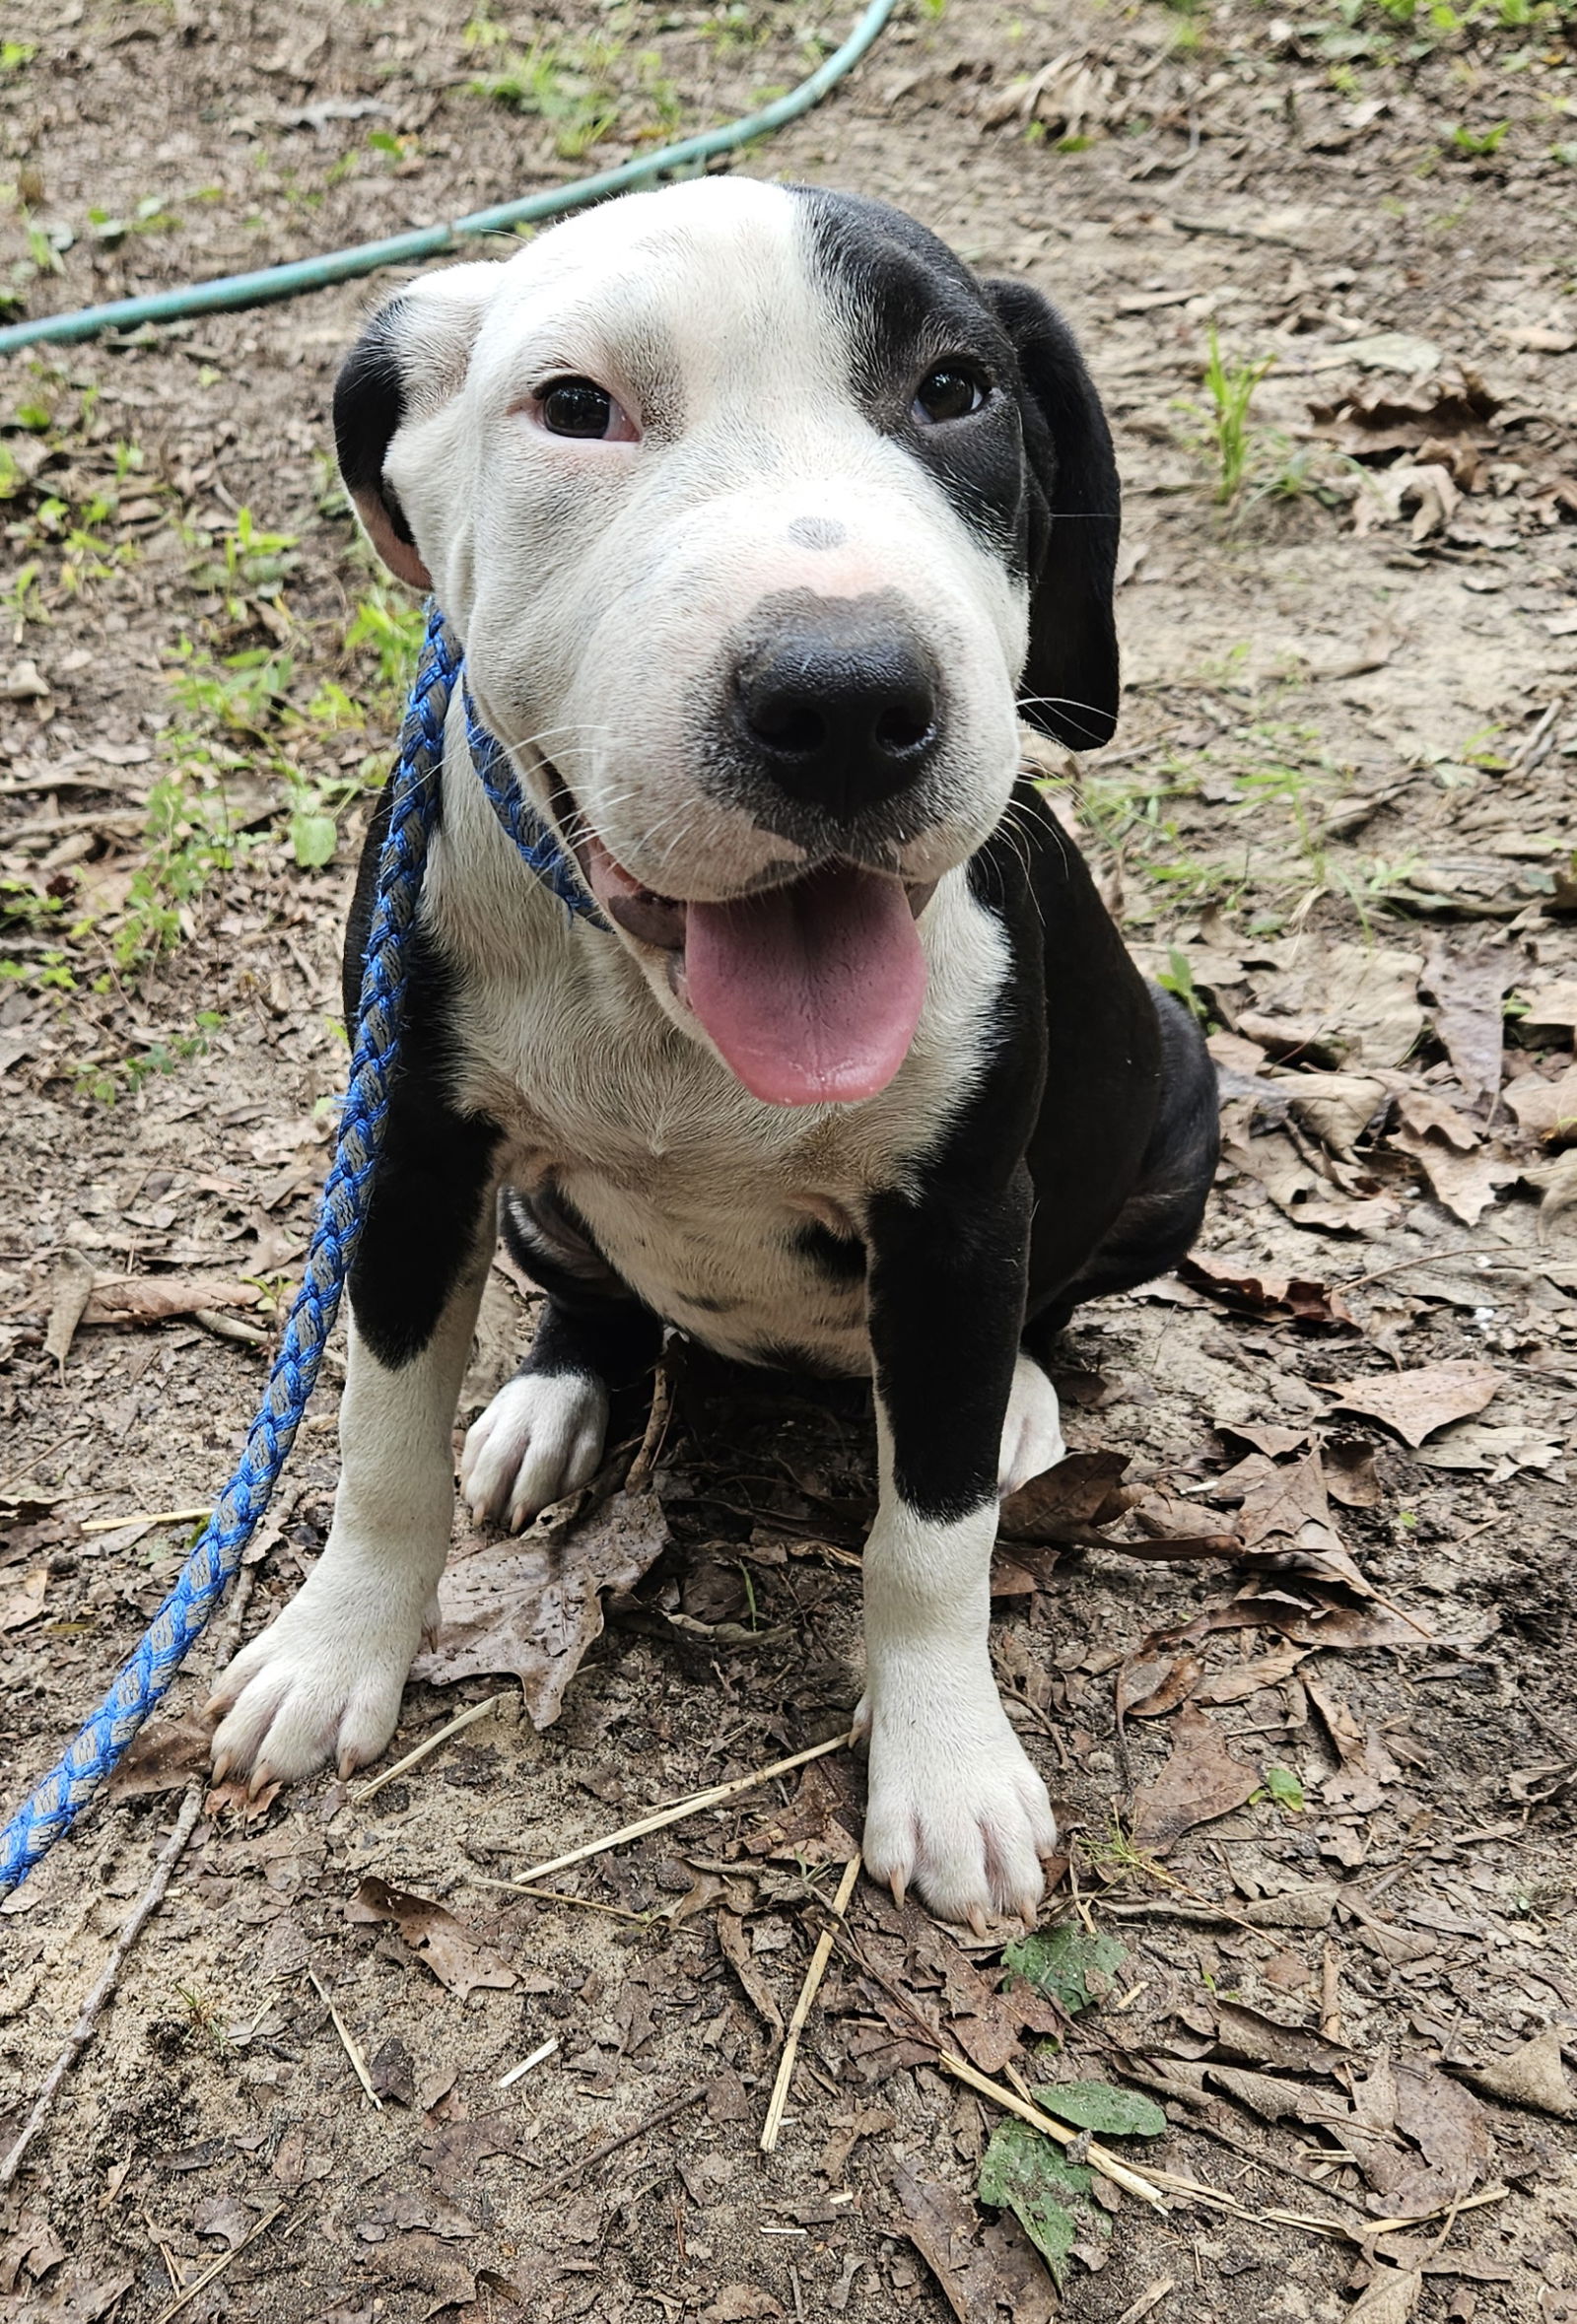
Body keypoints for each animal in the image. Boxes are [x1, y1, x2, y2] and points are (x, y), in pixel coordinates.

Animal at [206, 176, 1216, 1924]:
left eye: (957, 389)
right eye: (574, 407)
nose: (846, 698)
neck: (666, 1013)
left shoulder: (958, 1224)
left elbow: (929, 1537)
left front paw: (945, 1761)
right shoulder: (408, 1161)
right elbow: (381, 1441)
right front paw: (338, 1651)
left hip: (1179, 1109)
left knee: (1044, 1315)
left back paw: (1018, 1400)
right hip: (533, 1205)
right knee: (595, 1298)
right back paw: (552, 1404)